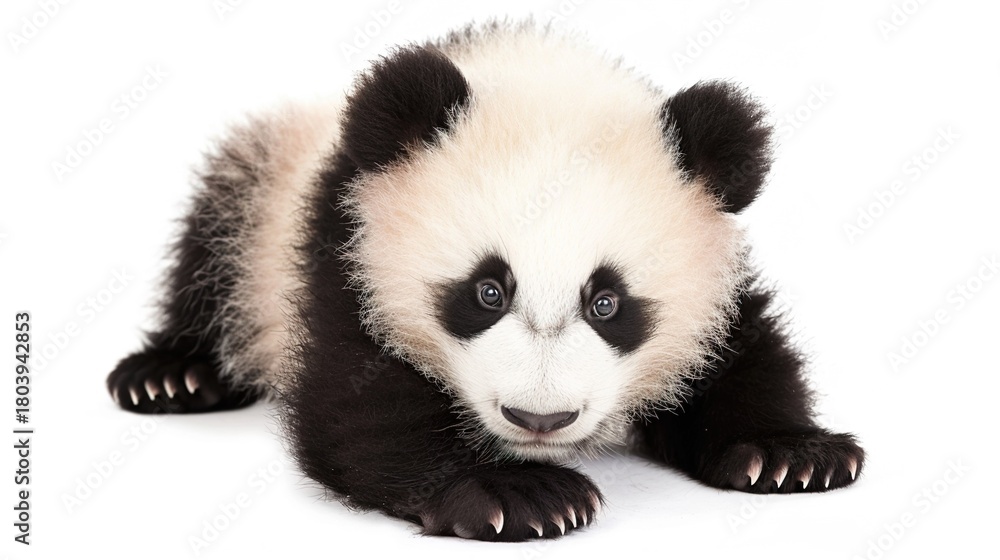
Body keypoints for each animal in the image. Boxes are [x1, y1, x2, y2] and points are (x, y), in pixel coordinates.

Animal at [106, 21, 864, 541]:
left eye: (608, 303)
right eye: (486, 292)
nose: (540, 420)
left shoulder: (719, 279)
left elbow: (745, 350)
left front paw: (789, 453)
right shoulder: (344, 247)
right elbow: (358, 405)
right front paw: (515, 495)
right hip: (259, 200)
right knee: (210, 252)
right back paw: (173, 375)